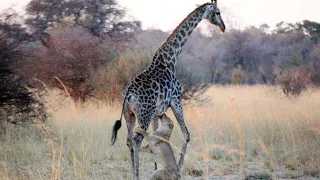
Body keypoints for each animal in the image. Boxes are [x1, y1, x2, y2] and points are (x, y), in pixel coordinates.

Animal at [111, 0, 224, 179]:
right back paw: (137, 175)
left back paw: (134, 173)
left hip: (130, 115)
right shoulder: (176, 100)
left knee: (129, 141)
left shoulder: (157, 112)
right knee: (136, 141)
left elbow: (157, 136)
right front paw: (179, 170)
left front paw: (157, 167)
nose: (223, 27)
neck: (171, 57)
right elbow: (187, 134)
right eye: (218, 12)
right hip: (143, 115)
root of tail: (128, 94)